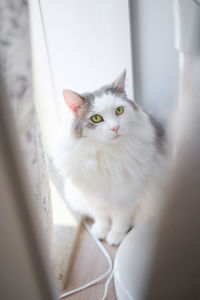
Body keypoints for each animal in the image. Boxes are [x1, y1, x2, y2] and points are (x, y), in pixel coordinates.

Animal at [52, 71, 167, 245]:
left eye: (119, 110)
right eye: (96, 119)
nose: (115, 127)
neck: (107, 155)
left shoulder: (129, 196)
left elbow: (120, 220)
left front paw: (115, 237)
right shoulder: (93, 196)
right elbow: (101, 218)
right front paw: (100, 232)